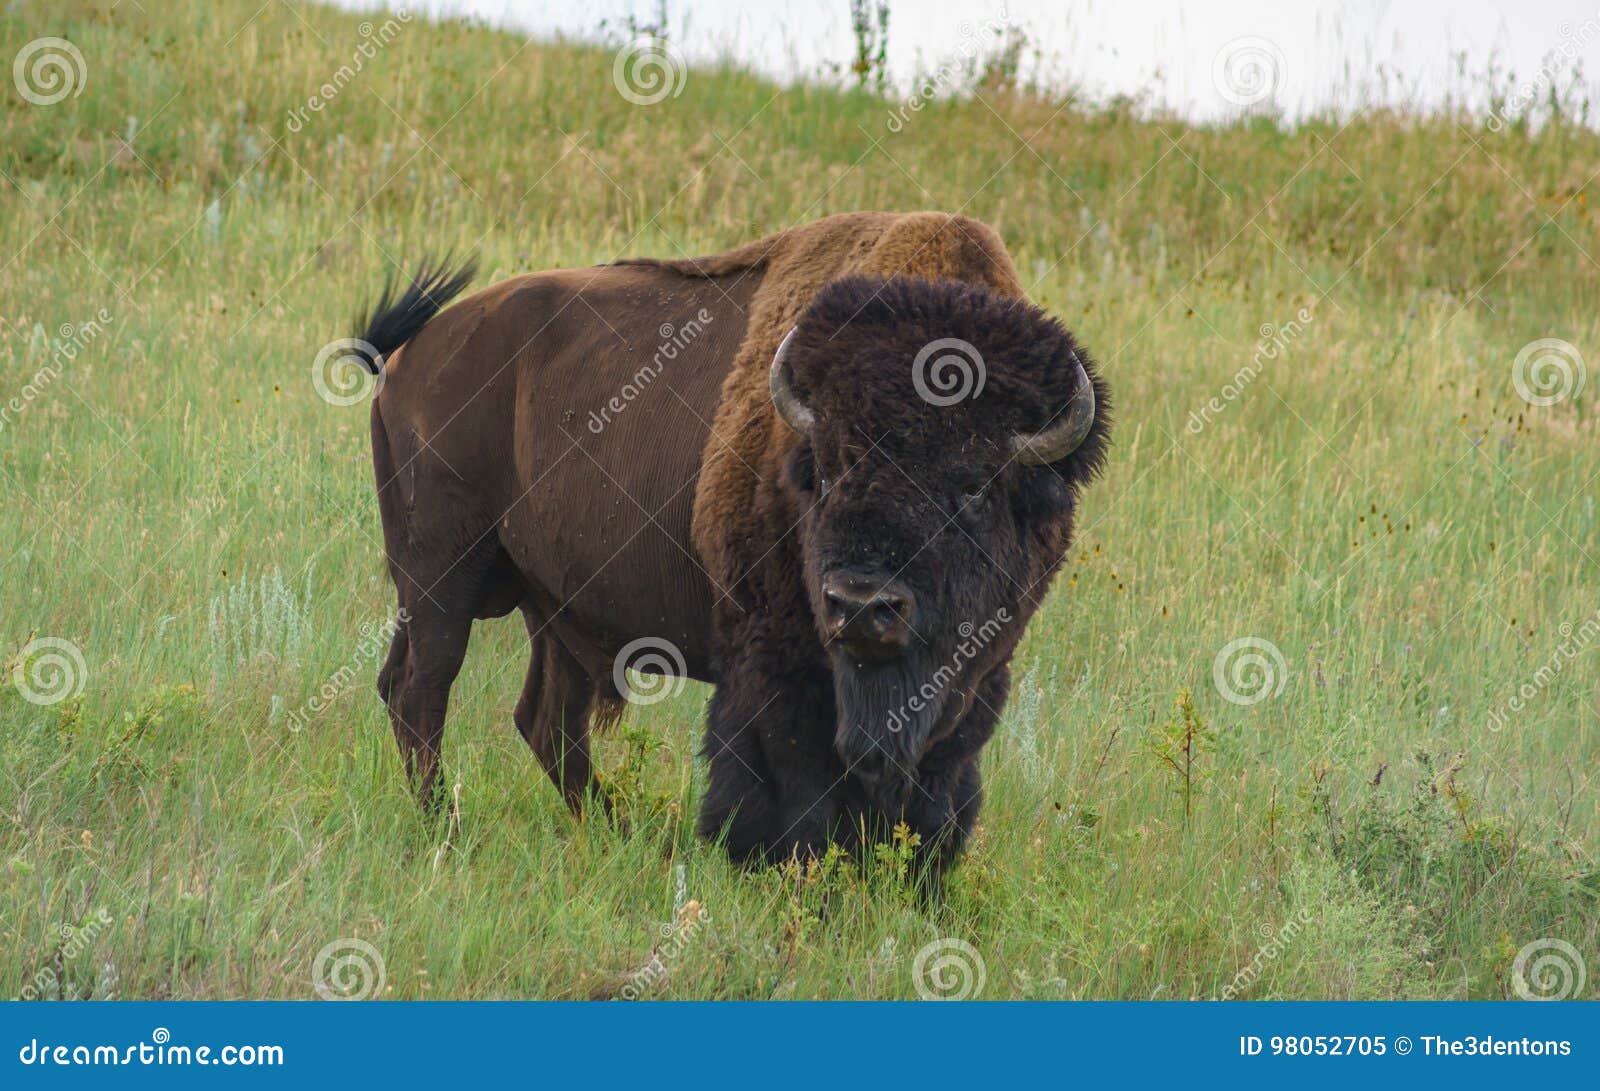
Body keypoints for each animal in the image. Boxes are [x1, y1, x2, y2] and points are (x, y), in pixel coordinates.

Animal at [356, 211, 1109, 880]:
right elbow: (782, 777)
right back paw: (449, 832)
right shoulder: (770, 658)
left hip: (553, 609)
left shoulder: (974, 675)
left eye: (975, 489)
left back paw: (619, 832)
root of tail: (411, 356)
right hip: (441, 577)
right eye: (827, 470)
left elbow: (937, 780)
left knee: (545, 721)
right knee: (421, 691)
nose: (862, 605)